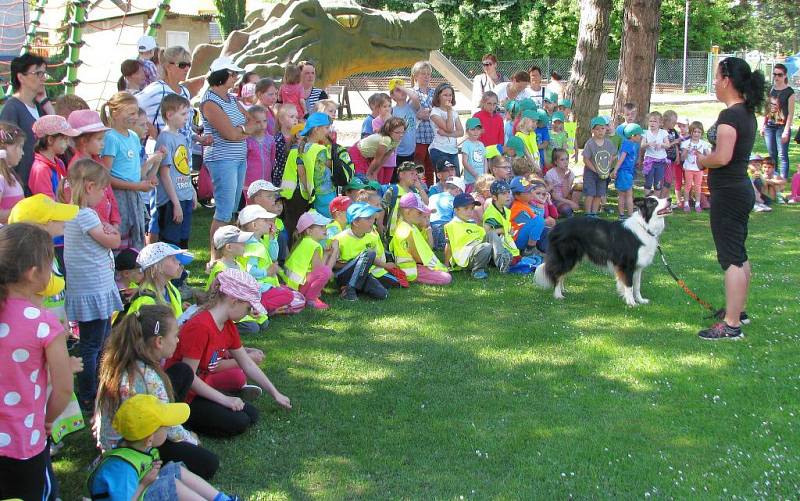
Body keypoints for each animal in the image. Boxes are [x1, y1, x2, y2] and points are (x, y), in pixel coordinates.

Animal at [536, 195, 672, 304]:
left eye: (658, 198)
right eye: (653, 202)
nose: (670, 199)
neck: (644, 226)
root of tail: (555, 228)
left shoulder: (637, 266)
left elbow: (637, 286)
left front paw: (640, 300)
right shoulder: (627, 265)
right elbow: (629, 285)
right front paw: (631, 303)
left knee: (561, 274)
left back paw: (563, 290)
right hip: (568, 258)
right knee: (557, 274)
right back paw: (558, 295)